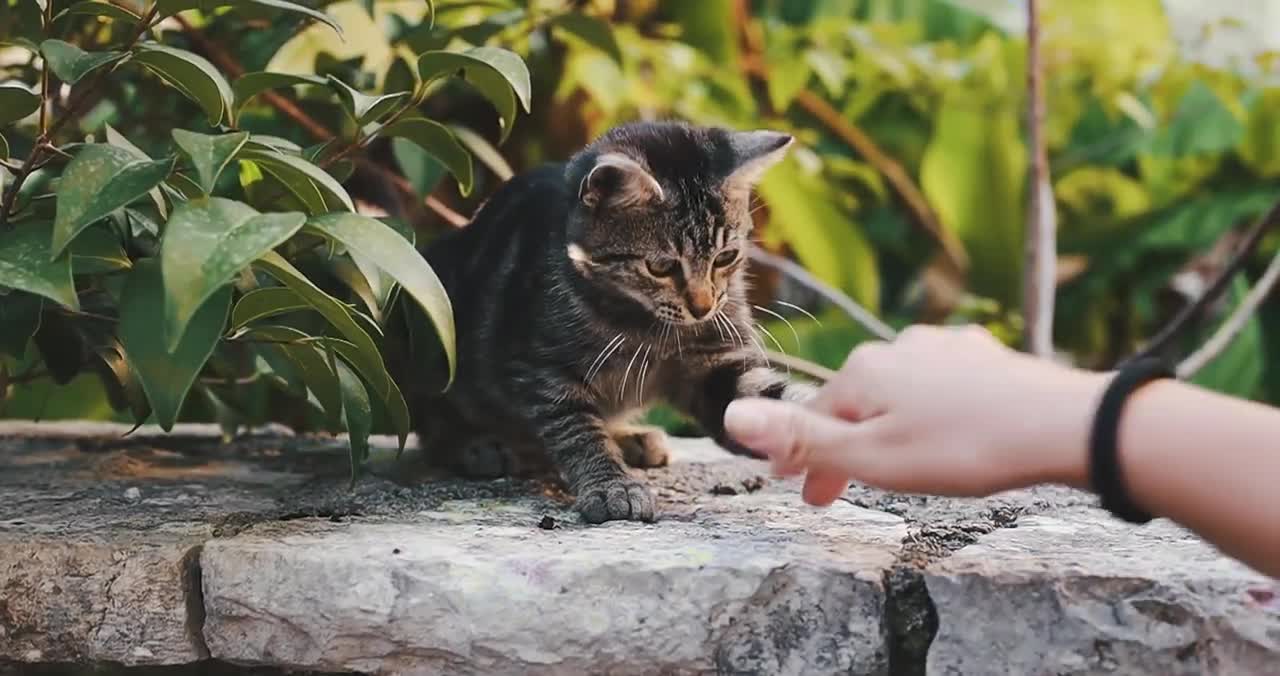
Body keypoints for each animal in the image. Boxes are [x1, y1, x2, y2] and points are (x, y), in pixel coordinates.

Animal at [404, 121, 814, 522]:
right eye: (661, 267)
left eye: (725, 257)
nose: (703, 306)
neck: (651, 327)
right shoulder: (541, 369)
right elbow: (578, 430)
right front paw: (612, 485)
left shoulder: (716, 362)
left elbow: (768, 399)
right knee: (431, 422)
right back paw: (477, 446)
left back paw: (630, 438)